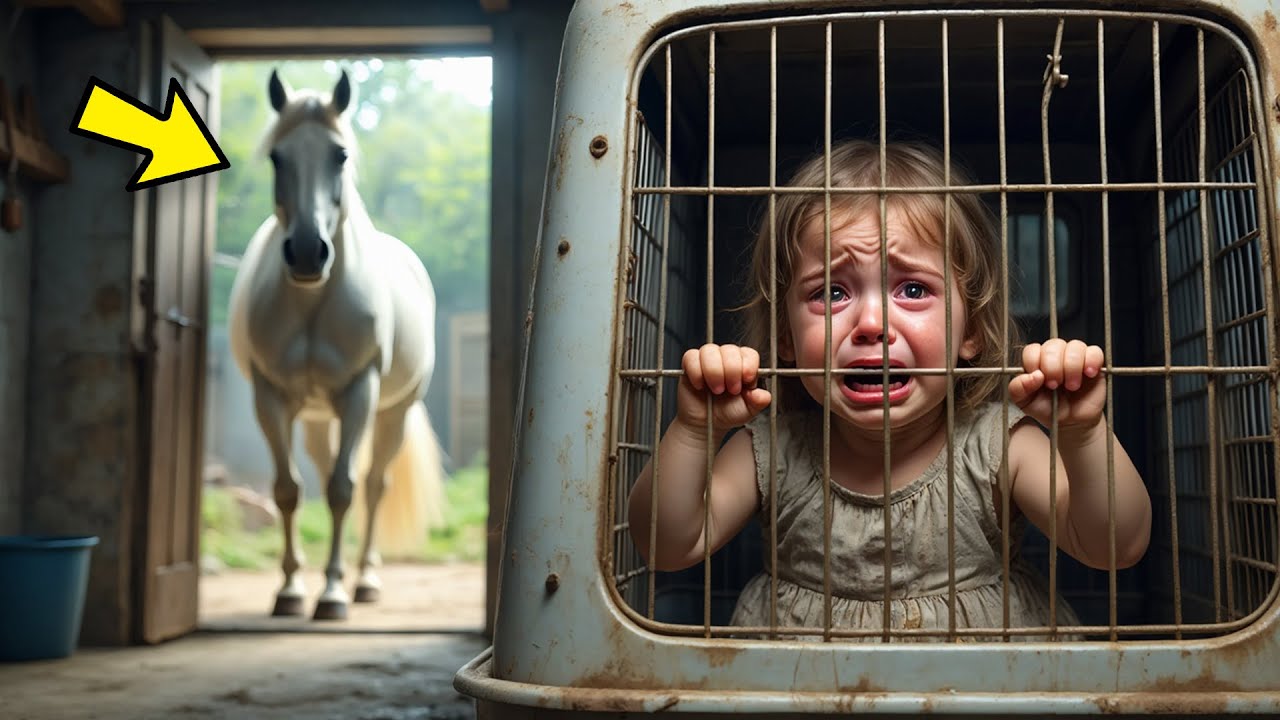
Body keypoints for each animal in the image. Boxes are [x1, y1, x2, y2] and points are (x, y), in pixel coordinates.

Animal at [228, 69, 447, 620]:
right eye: (277, 157)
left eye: (340, 155)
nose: (308, 253)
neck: (312, 302)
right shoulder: (270, 396)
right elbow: (288, 491)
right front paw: (290, 590)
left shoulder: (358, 391)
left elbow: (345, 490)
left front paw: (330, 593)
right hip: (314, 419)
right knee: (326, 475)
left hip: (392, 412)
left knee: (372, 485)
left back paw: (363, 579)